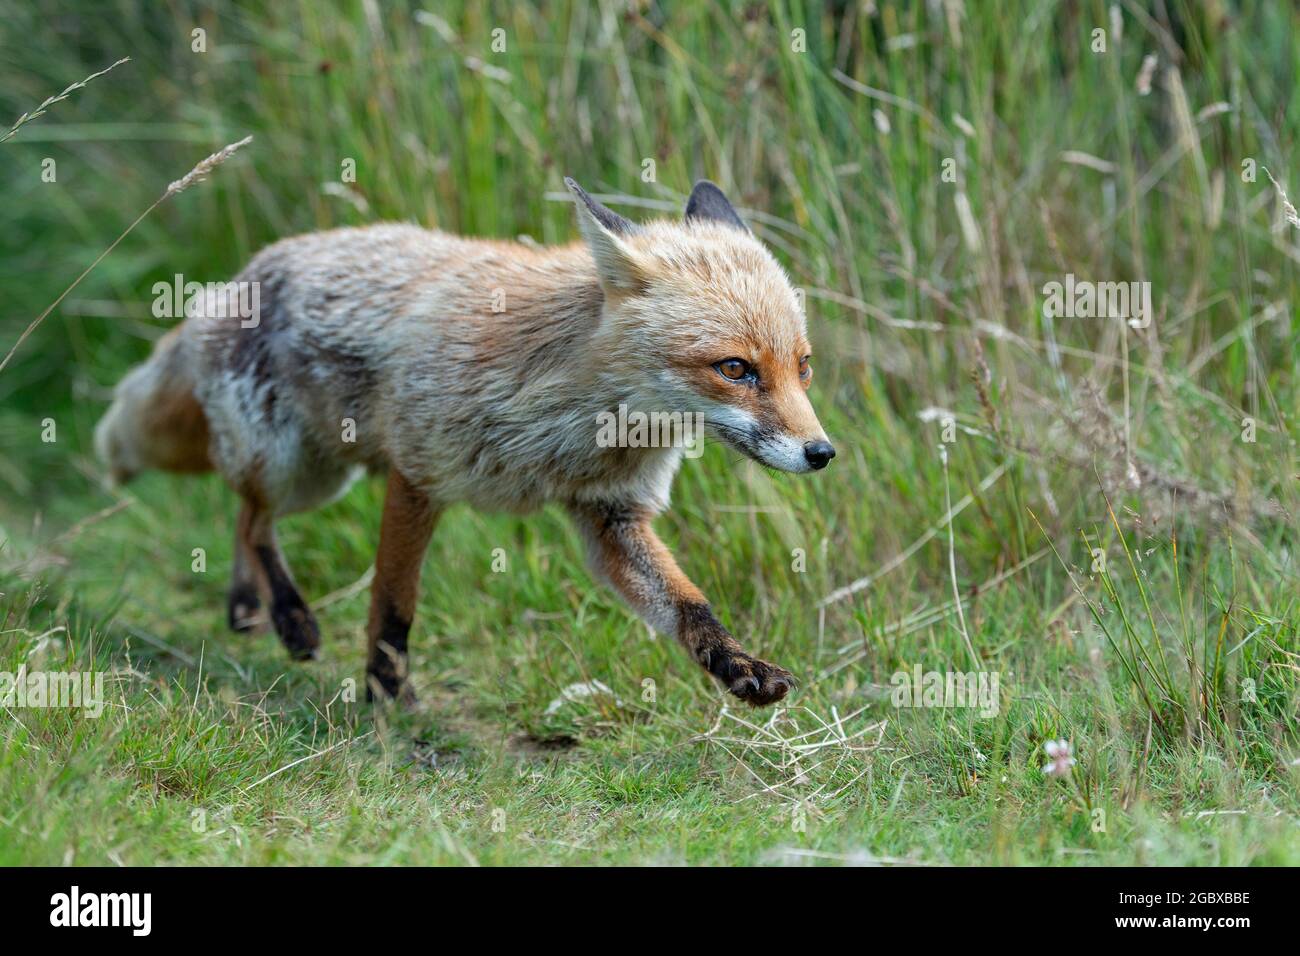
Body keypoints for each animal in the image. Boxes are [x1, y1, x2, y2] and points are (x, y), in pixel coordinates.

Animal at [96, 179, 837, 707]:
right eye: (735, 369)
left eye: (802, 367)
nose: (822, 454)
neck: (574, 427)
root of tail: (238, 275)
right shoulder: (418, 476)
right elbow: (394, 603)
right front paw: (387, 696)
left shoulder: (611, 515)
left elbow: (689, 606)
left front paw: (738, 667)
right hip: (297, 469)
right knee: (253, 517)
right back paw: (289, 617)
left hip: (314, 476)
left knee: (245, 515)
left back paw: (246, 607)